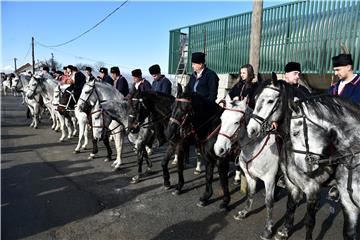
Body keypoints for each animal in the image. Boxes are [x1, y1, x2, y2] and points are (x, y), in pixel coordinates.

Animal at [212, 94, 280, 239]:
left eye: (237, 122)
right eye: (222, 119)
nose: (218, 149)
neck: (256, 147)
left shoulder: (269, 179)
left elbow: (269, 202)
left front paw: (268, 229)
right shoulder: (250, 176)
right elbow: (250, 193)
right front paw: (244, 212)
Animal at [246, 78, 360, 239]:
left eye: (270, 100)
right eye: (255, 99)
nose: (251, 130)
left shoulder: (312, 189)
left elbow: (309, 221)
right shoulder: (291, 183)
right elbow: (290, 205)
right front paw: (284, 230)